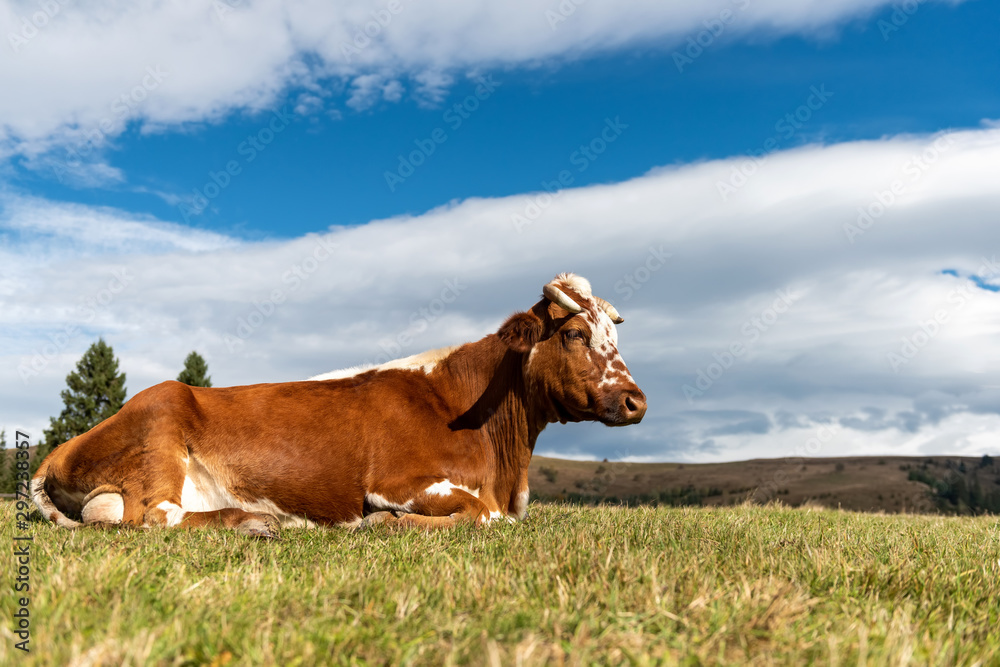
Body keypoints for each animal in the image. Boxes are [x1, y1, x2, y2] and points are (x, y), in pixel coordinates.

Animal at [31, 272, 648, 536]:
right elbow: (480, 515)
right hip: (160, 422)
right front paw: (382, 523)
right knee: (155, 516)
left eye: (614, 338)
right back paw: (253, 521)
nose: (636, 400)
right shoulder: (400, 481)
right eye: (575, 334)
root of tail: (62, 448)